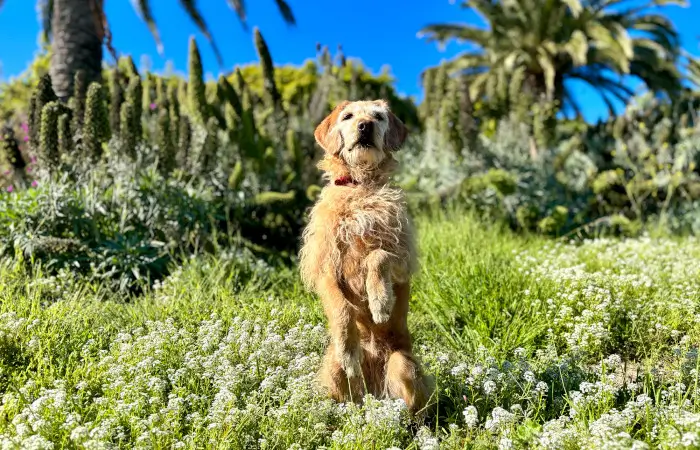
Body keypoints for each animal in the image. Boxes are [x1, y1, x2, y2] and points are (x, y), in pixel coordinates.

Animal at [296, 99, 430, 414]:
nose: (365, 125)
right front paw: (349, 346)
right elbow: (341, 308)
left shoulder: (402, 259)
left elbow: (377, 256)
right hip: (332, 372)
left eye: (378, 116)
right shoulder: (326, 267)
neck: (360, 186)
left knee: (415, 408)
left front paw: (379, 301)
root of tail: (372, 390)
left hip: (404, 366)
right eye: (347, 116)